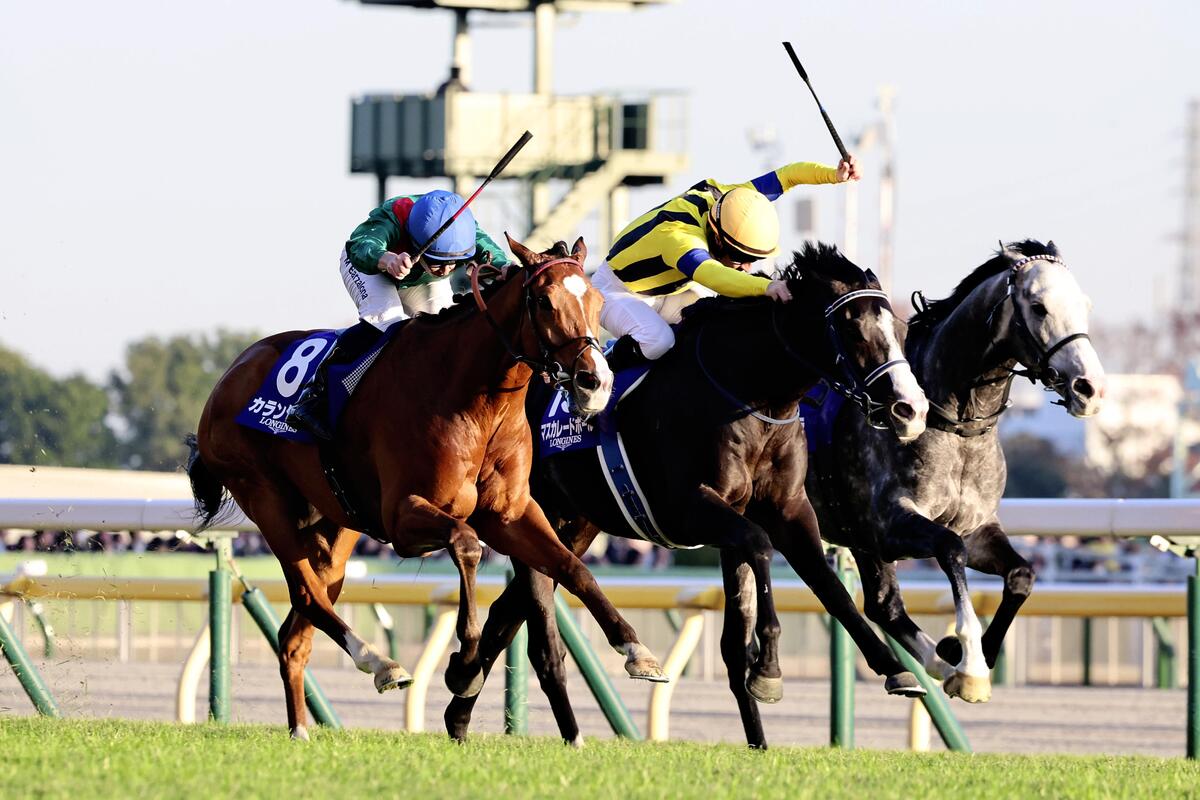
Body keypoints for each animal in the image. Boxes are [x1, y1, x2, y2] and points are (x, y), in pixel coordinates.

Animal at [185, 235, 666, 741]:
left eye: (596, 302)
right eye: (543, 301)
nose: (595, 381)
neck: (475, 399)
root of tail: (231, 373)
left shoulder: (512, 514)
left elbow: (573, 567)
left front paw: (636, 650)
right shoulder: (403, 517)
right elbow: (466, 542)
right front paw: (465, 661)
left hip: (336, 526)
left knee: (297, 630)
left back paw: (301, 727)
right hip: (264, 497)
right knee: (306, 593)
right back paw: (379, 662)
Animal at [442, 242, 933, 749]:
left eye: (895, 327)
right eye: (851, 326)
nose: (910, 409)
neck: (750, 394)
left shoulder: (784, 510)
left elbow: (819, 587)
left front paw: (894, 671)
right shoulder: (689, 509)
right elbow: (759, 547)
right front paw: (769, 671)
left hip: (572, 526)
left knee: (507, 611)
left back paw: (460, 702)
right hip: (527, 513)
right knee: (540, 635)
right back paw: (563, 726)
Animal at [800, 239, 1106, 705]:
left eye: (1085, 305)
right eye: (1038, 307)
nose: (1089, 388)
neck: (954, 425)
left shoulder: (976, 526)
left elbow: (1021, 574)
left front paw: (977, 653)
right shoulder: (888, 526)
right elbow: (949, 549)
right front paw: (971, 662)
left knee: (884, 604)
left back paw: (936, 663)